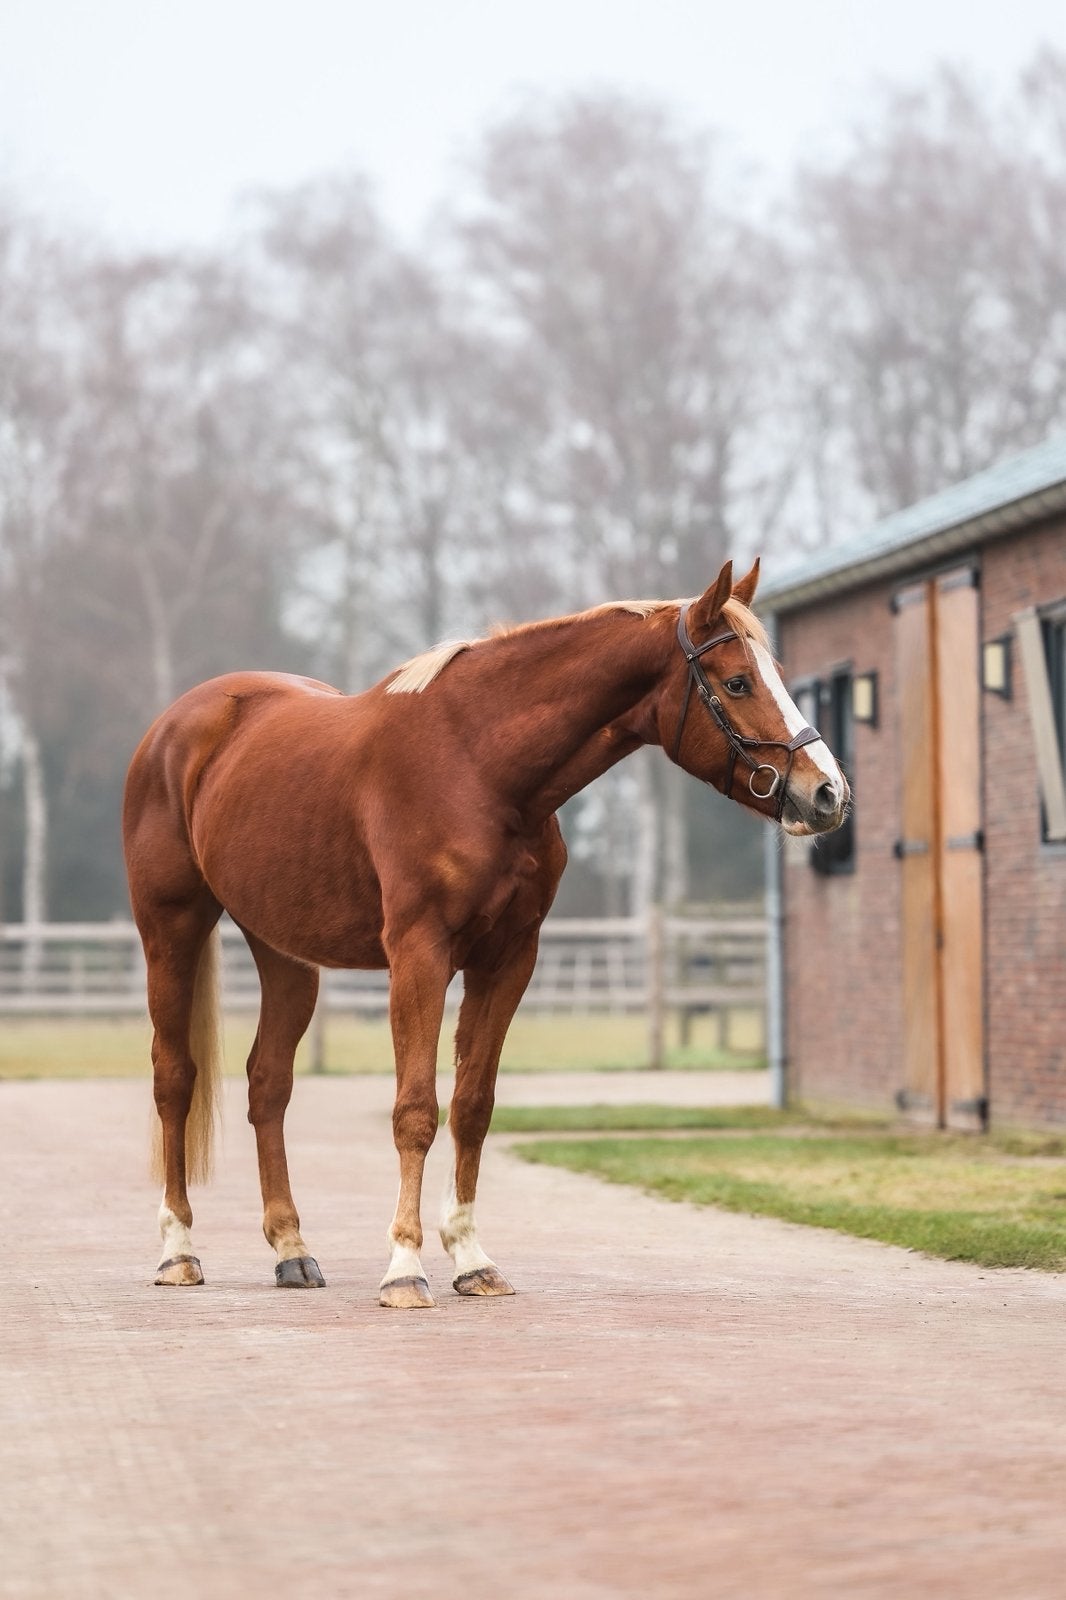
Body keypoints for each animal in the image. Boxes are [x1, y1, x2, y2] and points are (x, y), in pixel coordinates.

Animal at [123, 557, 848, 1305]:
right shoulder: (419, 954)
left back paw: (292, 1250)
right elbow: (415, 1109)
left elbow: (473, 1103)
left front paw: (471, 1259)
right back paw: (178, 1251)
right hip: (170, 929)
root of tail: (180, 724)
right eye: (736, 682)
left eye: (776, 673)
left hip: (284, 953)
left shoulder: (507, 958)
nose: (827, 793)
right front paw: (404, 1268)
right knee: (174, 1079)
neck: (477, 765)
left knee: (268, 1083)